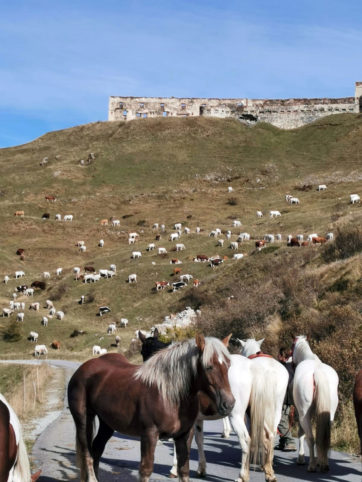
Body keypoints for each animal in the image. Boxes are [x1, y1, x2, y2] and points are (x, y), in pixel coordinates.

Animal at [67, 336, 235, 482]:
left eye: (228, 365)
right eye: (209, 367)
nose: (229, 403)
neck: (169, 394)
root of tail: (83, 368)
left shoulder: (184, 435)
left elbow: (184, 470)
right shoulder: (149, 435)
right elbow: (146, 470)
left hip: (107, 424)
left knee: (96, 450)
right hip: (83, 420)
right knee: (87, 454)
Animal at [292, 336, 338, 470]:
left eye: (292, 346)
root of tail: (317, 372)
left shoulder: (300, 413)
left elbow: (301, 433)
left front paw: (301, 458)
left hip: (304, 414)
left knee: (311, 438)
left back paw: (312, 465)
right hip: (330, 414)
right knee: (324, 438)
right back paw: (323, 463)